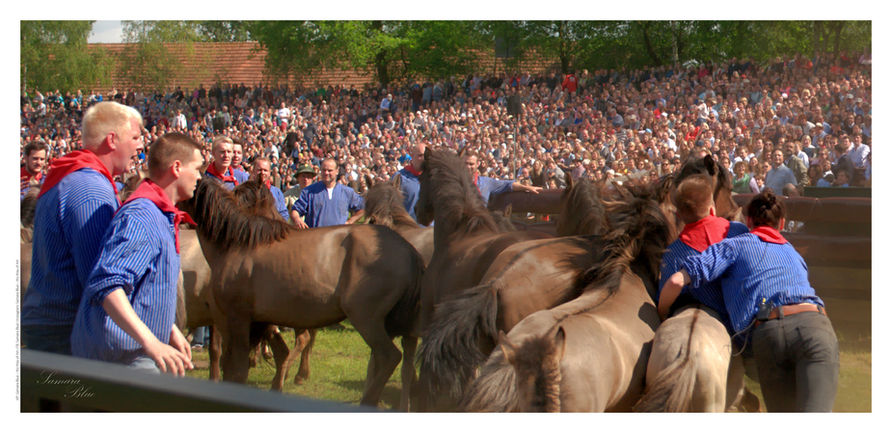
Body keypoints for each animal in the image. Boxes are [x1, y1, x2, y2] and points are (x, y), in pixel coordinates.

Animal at [181, 177, 424, 410]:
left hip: (367, 319)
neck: (237, 244)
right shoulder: (254, 322)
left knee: (389, 357)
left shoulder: (237, 319)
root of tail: (408, 249)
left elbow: (236, 370)